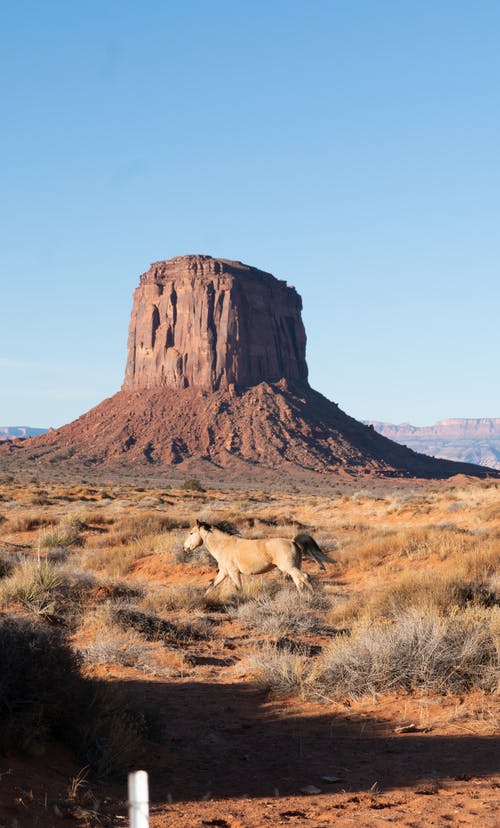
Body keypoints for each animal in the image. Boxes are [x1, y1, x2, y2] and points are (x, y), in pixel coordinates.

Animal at [184, 520, 332, 592]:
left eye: (191, 533)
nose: (185, 548)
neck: (224, 546)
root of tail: (292, 541)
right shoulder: (224, 573)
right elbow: (211, 586)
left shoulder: (233, 572)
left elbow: (239, 589)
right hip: (293, 568)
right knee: (299, 581)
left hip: (289, 568)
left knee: (305, 577)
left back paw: (312, 597)